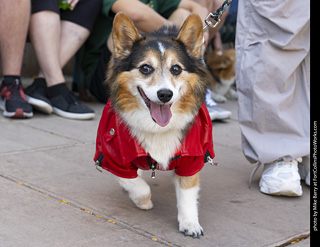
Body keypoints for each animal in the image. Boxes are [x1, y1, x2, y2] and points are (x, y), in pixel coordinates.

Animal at [95, 13, 215, 237]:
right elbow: (135, 183)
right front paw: (144, 202)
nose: (165, 94)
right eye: (145, 68)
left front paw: (190, 224)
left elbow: (187, 194)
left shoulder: (192, 159)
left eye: (176, 69)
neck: (157, 127)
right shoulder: (112, 157)